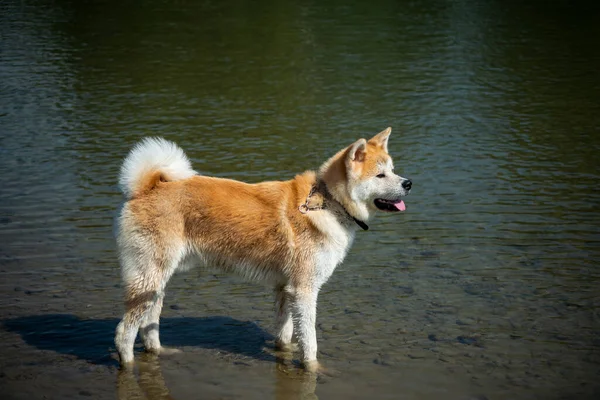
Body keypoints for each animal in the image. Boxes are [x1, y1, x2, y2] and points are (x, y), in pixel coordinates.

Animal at [113, 128, 412, 372]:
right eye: (380, 175)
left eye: (393, 170)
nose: (408, 183)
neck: (328, 202)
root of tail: (147, 188)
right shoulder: (304, 290)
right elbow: (310, 341)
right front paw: (314, 369)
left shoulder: (286, 289)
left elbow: (286, 333)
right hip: (148, 278)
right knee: (124, 333)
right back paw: (127, 363)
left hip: (157, 281)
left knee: (149, 325)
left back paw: (160, 352)